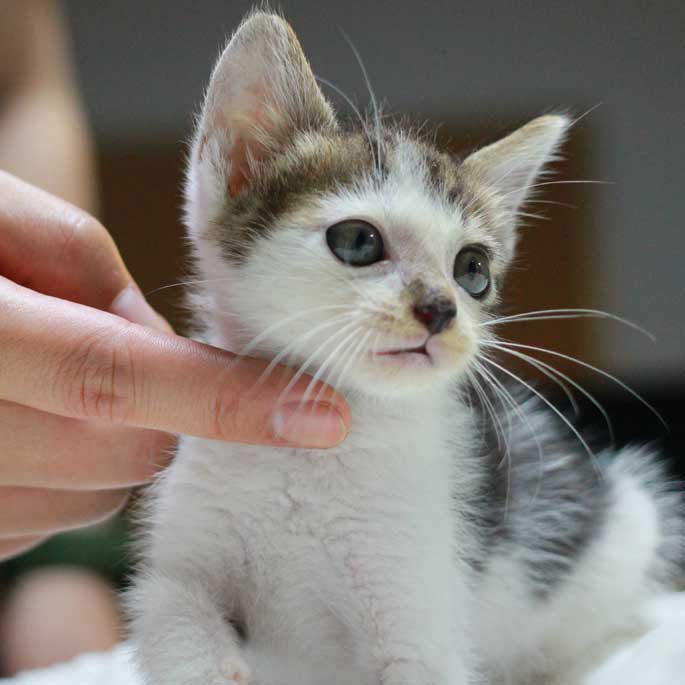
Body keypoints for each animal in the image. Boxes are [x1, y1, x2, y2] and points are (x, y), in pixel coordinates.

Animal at [127, 10, 680, 684]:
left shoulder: (420, 616)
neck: (311, 460)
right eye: (358, 241)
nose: (441, 309)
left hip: (627, 530)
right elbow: (170, 609)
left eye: (473, 270)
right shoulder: (183, 556)